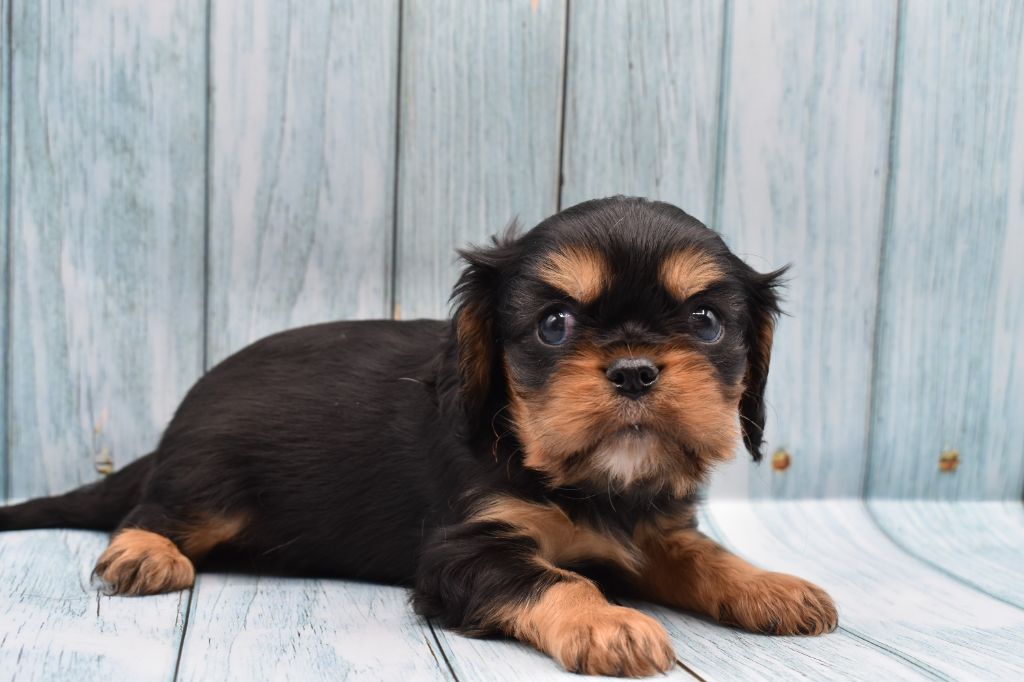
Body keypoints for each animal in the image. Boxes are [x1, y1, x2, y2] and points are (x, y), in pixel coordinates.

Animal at [0, 196, 835, 675]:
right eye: (554, 325)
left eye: (706, 322)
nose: (633, 370)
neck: (588, 482)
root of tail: (183, 415)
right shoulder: (465, 550)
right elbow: (556, 578)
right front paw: (608, 623)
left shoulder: (658, 530)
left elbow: (706, 557)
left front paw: (771, 586)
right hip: (209, 483)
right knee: (148, 509)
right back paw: (143, 552)